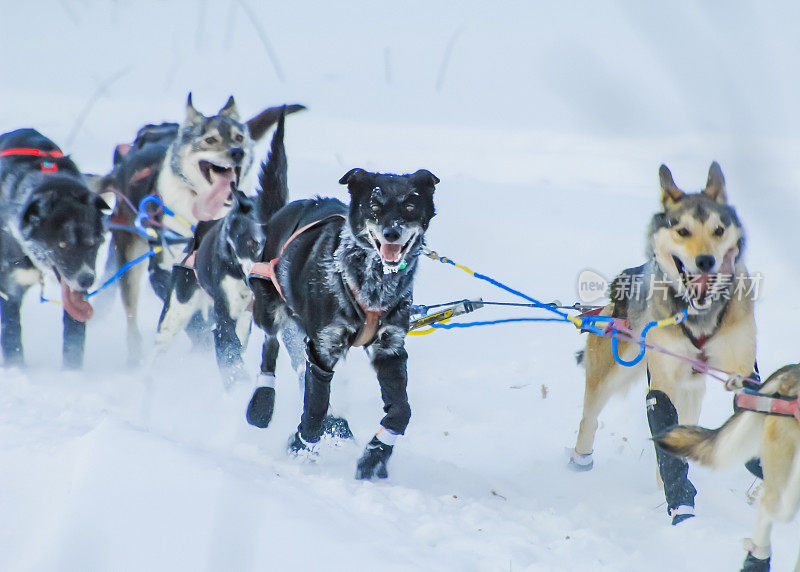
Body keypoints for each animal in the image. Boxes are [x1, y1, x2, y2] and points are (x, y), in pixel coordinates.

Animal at [0, 128, 115, 368]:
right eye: (63, 244)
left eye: (95, 242)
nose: (87, 280)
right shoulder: (10, 291)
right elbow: (13, 342)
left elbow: (73, 342)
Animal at [248, 168, 440, 480]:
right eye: (374, 206)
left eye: (410, 206)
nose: (392, 233)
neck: (374, 281)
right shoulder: (322, 350)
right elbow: (315, 406)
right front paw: (302, 447)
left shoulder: (391, 349)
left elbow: (401, 411)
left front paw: (376, 455)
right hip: (268, 306)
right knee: (270, 344)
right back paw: (262, 403)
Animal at [564, 163, 760, 524]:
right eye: (682, 231)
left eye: (718, 230)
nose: (705, 261)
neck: (698, 315)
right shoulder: (664, 382)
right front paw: (681, 503)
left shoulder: (742, 370)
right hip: (611, 373)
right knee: (590, 418)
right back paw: (581, 459)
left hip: (692, 393)